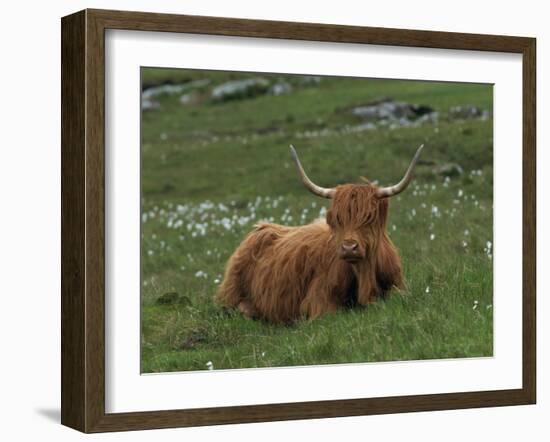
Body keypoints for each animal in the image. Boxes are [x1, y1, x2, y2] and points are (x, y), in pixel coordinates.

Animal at [215, 144, 422, 322]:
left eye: (369, 218)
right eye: (336, 219)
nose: (349, 248)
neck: (364, 276)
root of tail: (262, 228)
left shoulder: (400, 286)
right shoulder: (318, 301)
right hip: (230, 293)